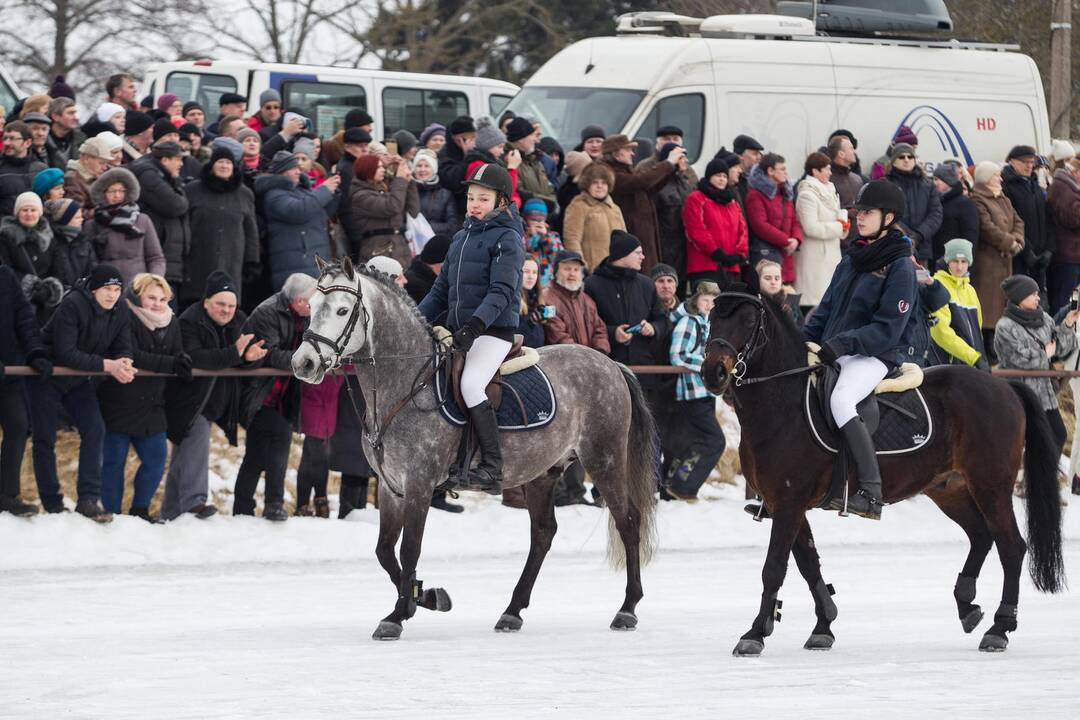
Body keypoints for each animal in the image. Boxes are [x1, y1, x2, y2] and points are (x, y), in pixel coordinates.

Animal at [291, 259, 656, 643]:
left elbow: (409, 548)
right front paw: (426, 597)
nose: (303, 364)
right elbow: (385, 550)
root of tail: (610, 363)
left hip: (604, 459)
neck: (405, 384)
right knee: (543, 534)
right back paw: (512, 611)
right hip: (543, 473)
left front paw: (397, 615)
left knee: (628, 522)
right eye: (311, 307)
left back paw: (627, 609)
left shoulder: (419, 485)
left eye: (342, 310)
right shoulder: (392, 488)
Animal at [699, 293, 1062, 660]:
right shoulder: (784, 504)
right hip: (949, 489)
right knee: (981, 536)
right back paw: (967, 606)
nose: (713, 372)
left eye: (748, 322)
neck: (783, 406)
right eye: (712, 319)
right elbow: (808, 564)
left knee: (1011, 547)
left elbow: (774, 568)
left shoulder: (789, 502)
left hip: (991, 486)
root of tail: (1003, 385)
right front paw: (823, 626)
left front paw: (755, 634)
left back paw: (999, 629)